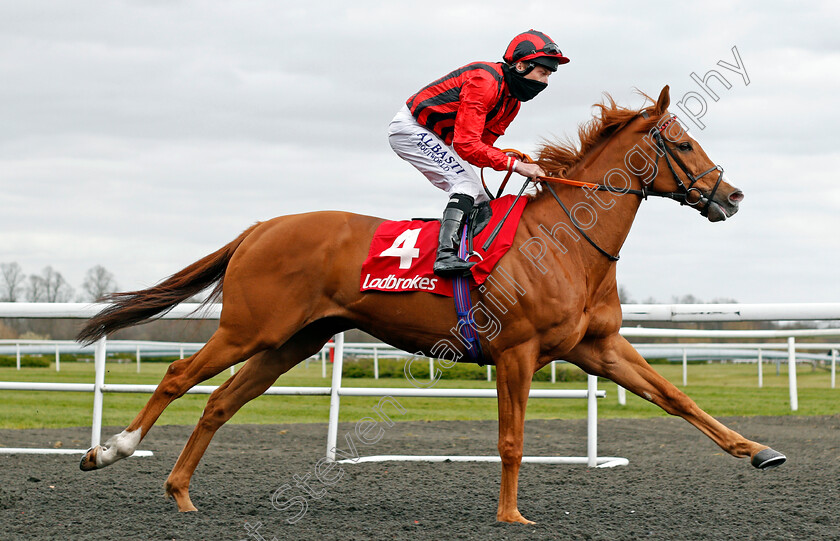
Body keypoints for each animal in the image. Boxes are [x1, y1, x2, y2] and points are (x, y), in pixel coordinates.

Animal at [75, 85, 784, 524]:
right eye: (683, 144)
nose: (734, 195)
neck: (568, 240)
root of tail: (261, 227)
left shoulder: (598, 346)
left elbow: (678, 398)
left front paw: (758, 452)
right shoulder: (517, 351)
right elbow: (511, 440)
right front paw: (511, 515)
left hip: (293, 341)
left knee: (221, 401)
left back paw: (180, 493)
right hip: (252, 328)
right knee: (177, 376)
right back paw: (108, 452)